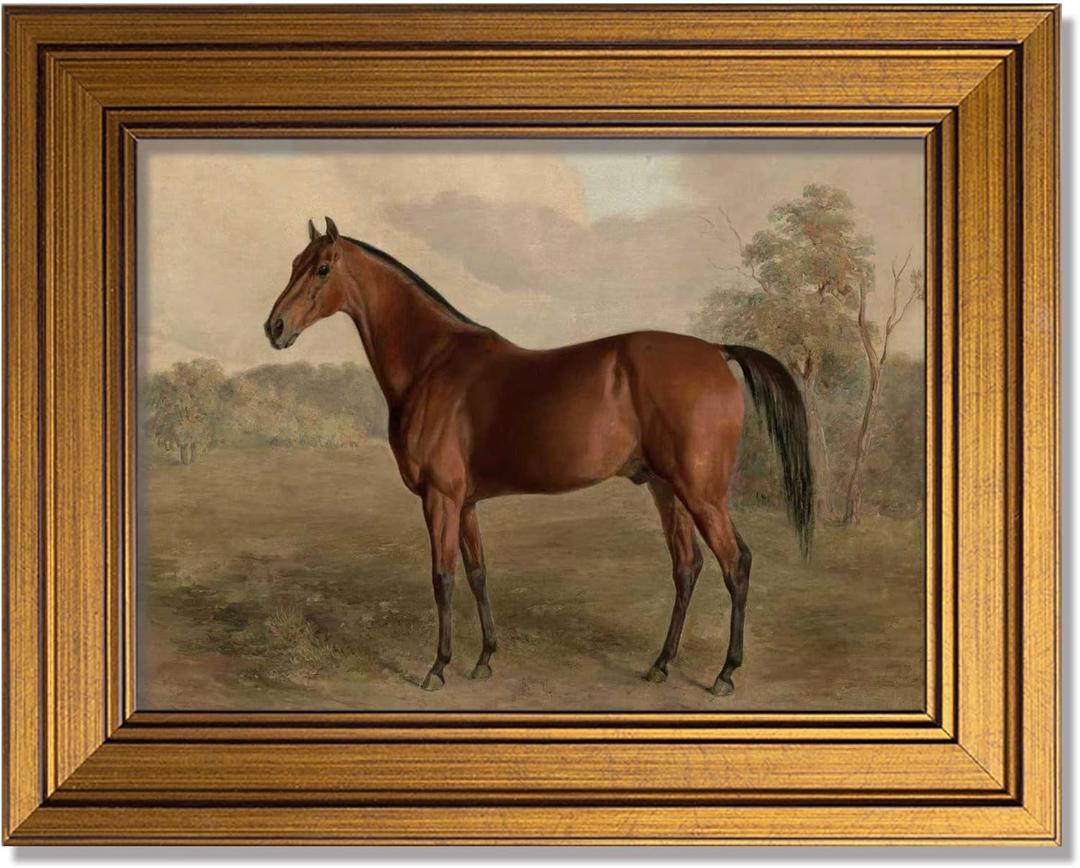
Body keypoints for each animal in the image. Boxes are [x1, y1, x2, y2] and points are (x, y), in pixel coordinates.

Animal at [264, 217, 813, 696]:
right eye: (293, 262)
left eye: (322, 268)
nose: (275, 327)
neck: (432, 363)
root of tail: (715, 352)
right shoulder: (465, 503)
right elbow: (478, 574)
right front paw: (484, 659)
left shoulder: (440, 499)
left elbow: (442, 578)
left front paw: (438, 668)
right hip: (668, 489)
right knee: (688, 566)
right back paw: (660, 664)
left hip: (701, 492)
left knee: (734, 563)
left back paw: (725, 673)